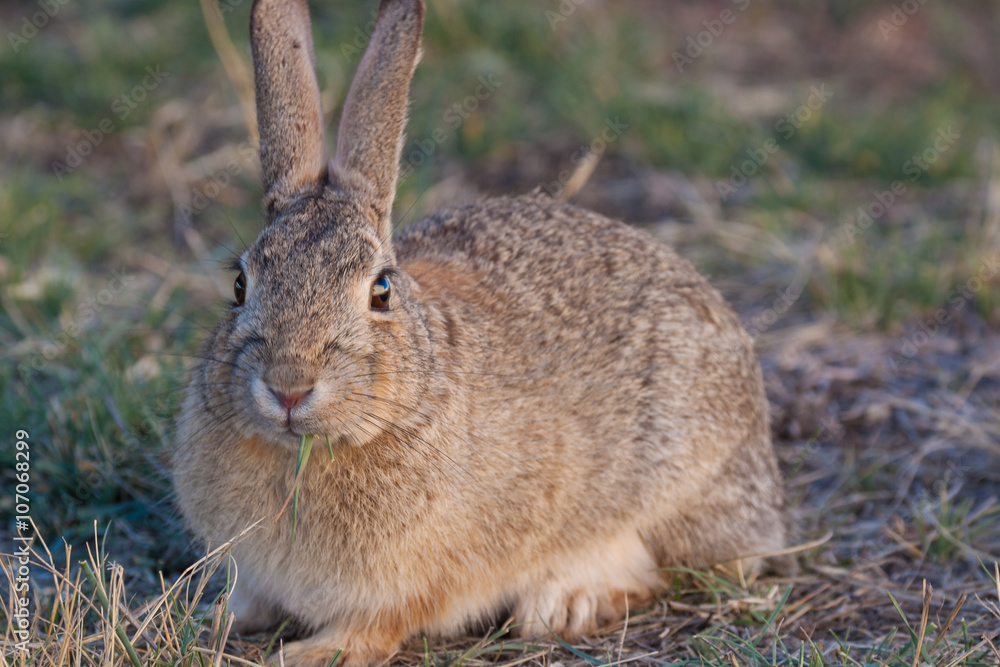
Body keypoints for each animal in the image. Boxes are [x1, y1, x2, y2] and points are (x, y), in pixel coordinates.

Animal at [170, 0, 786, 665]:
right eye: (240, 285)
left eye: (380, 291)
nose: (288, 386)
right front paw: (214, 618)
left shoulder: (410, 586)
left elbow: (375, 628)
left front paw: (304, 655)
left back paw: (567, 602)